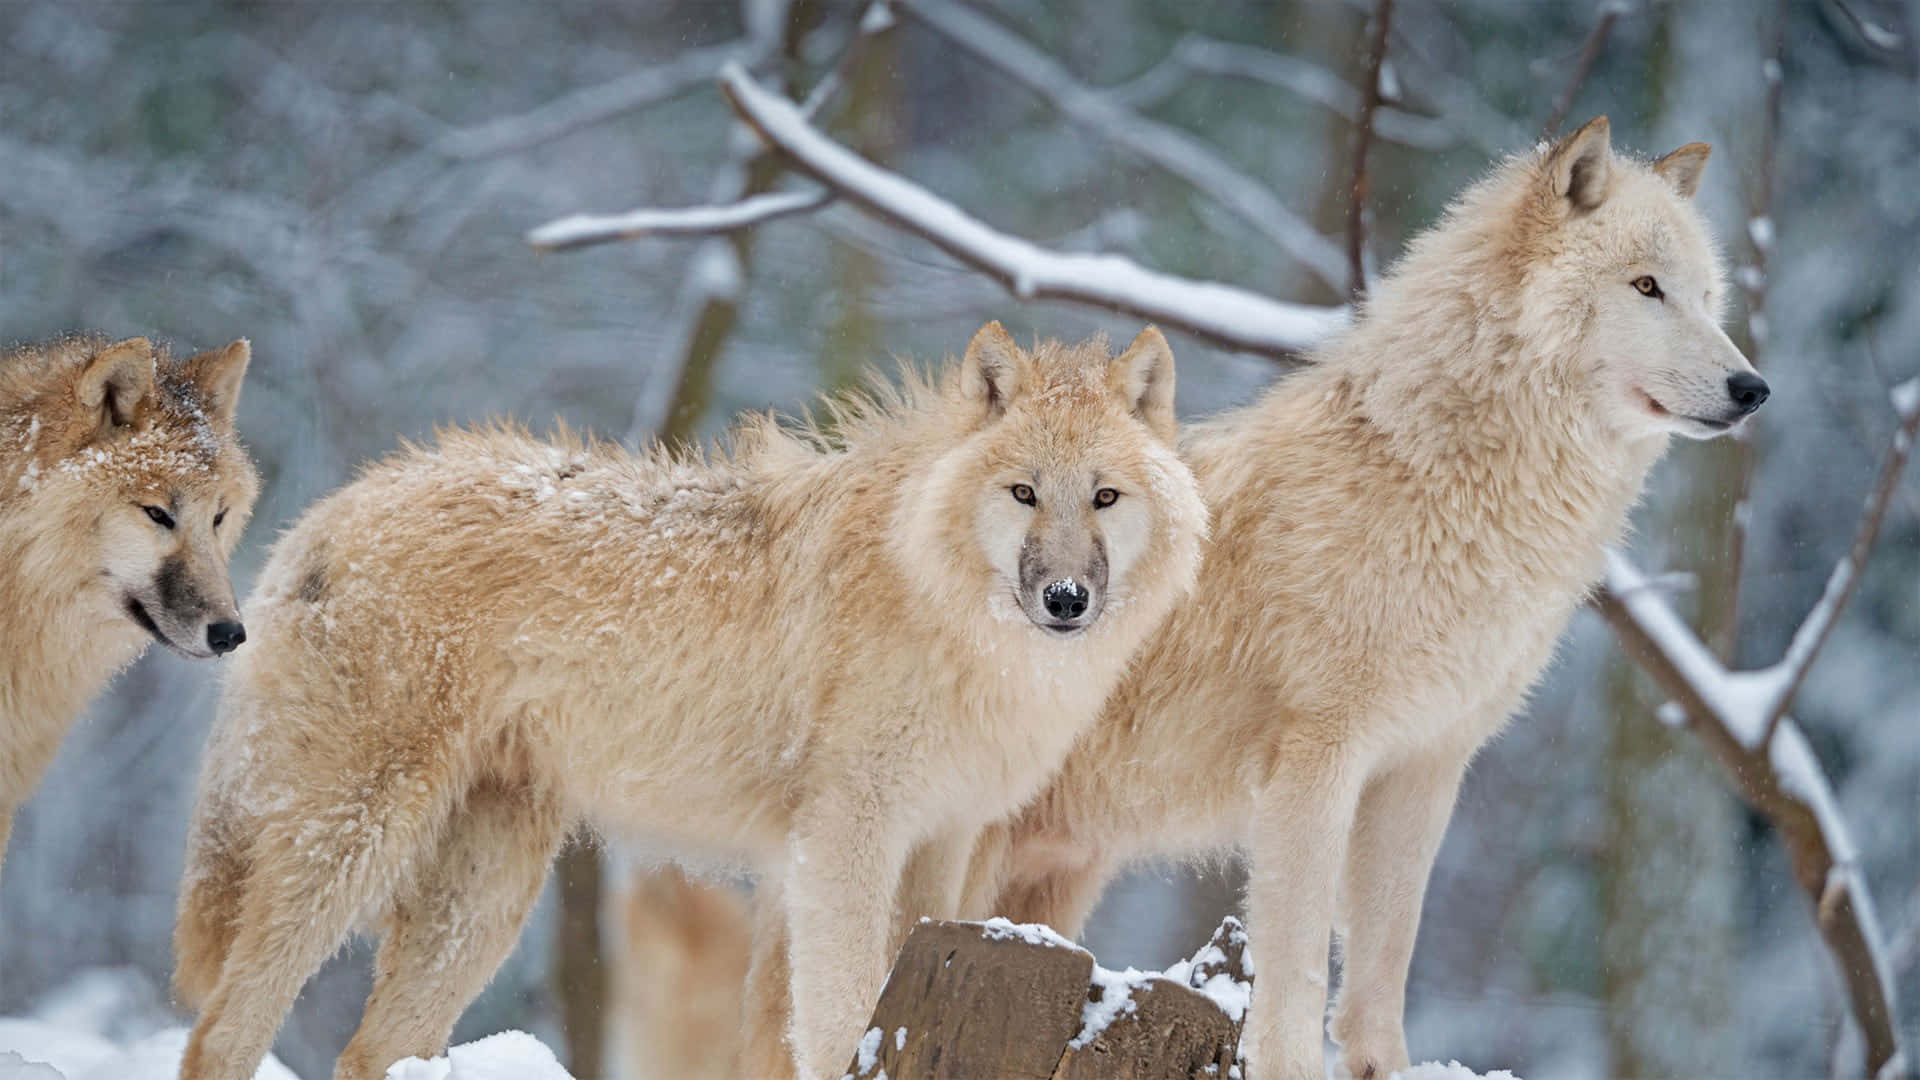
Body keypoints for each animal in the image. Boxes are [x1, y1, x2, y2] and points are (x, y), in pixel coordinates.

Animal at [171, 322, 1208, 1080]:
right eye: (1024, 493)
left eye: (1105, 497)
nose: (1066, 599)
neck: (947, 610)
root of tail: (324, 515)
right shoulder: (844, 840)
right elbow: (836, 1016)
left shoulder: (942, 843)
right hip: (351, 846)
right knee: (221, 1031)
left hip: (484, 897)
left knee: (371, 1052)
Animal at [960, 118, 1768, 1080]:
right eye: (1647, 287)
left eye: (1709, 298)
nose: (1754, 389)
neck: (1440, 487)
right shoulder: (1316, 761)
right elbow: (1301, 963)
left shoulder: (1426, 765)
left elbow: (1385, 954)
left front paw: (1383, 1064)